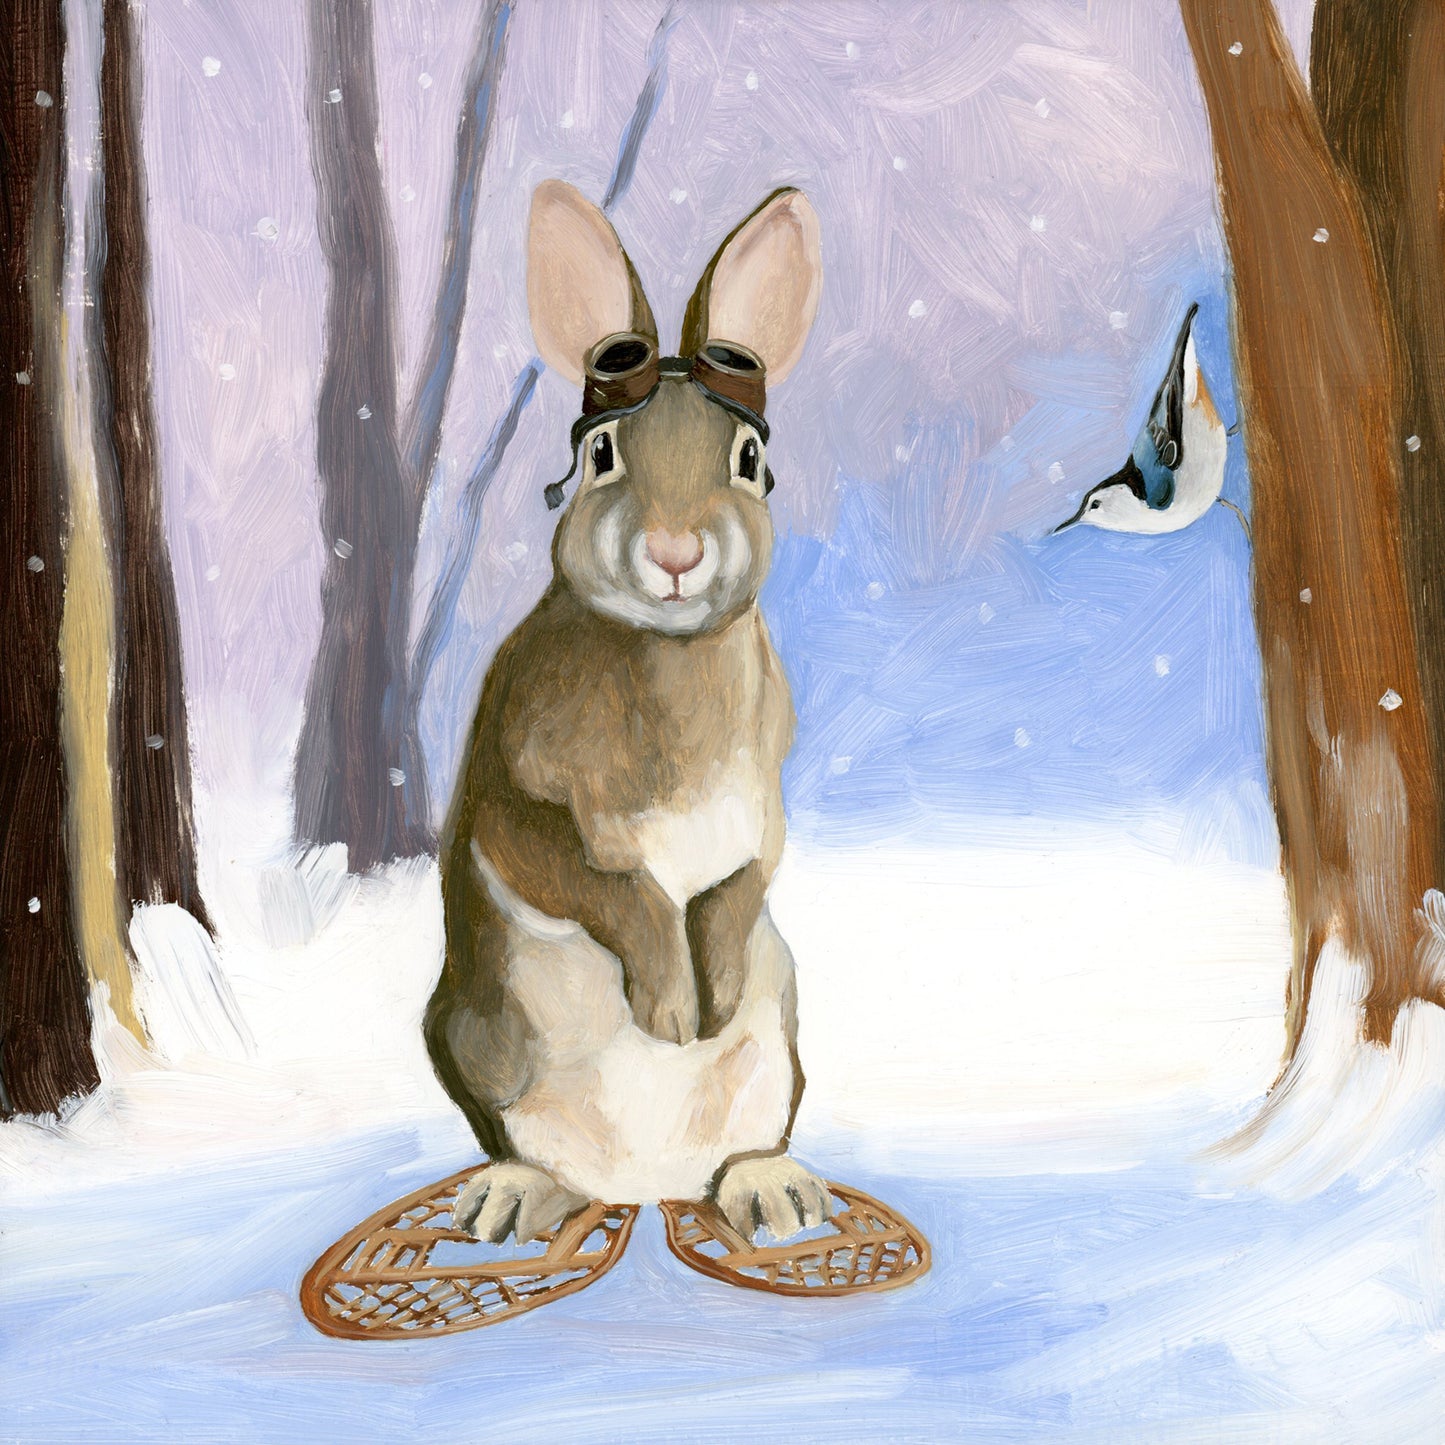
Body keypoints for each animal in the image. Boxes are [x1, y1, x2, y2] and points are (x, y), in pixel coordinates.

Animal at [424, 178, 826, 1249]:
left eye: (746, 457)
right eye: (604, 454)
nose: (676, 550)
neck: (669, 652)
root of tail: (648, 1188)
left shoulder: (762, 817)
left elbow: (736, 889)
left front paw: (709, 1003)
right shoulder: (514, 809)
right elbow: (610, 886)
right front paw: (672, 1015)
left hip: (781, 1044)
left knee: (742, 1149)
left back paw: (774, 1192)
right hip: (480, 1042)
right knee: (542, 1159)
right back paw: (509, 1199)